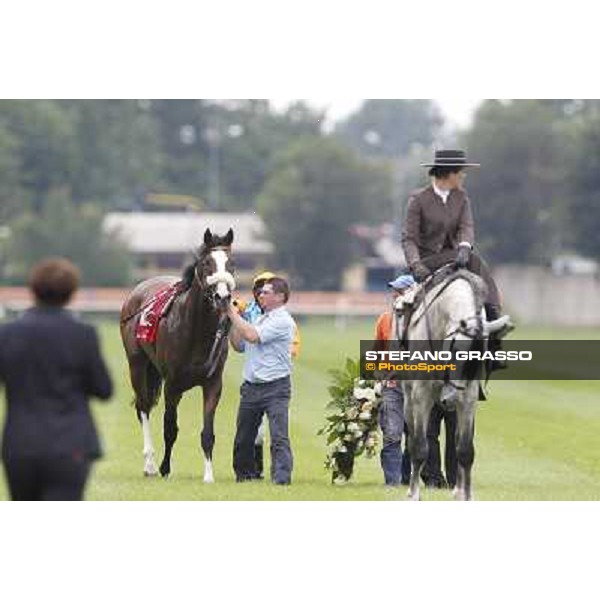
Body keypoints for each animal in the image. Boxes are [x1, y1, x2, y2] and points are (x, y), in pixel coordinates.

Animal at [119, 227, 234, 480]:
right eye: (207, 263)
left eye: (231, 264)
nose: (222, 297)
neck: (196, 331)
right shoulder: (173, 383)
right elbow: (170, 428)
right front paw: (164, 468)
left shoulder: (213, 382)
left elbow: (208, 432)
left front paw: (208, 475)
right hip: (137, 365)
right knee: (143, 407)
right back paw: (150, 464)